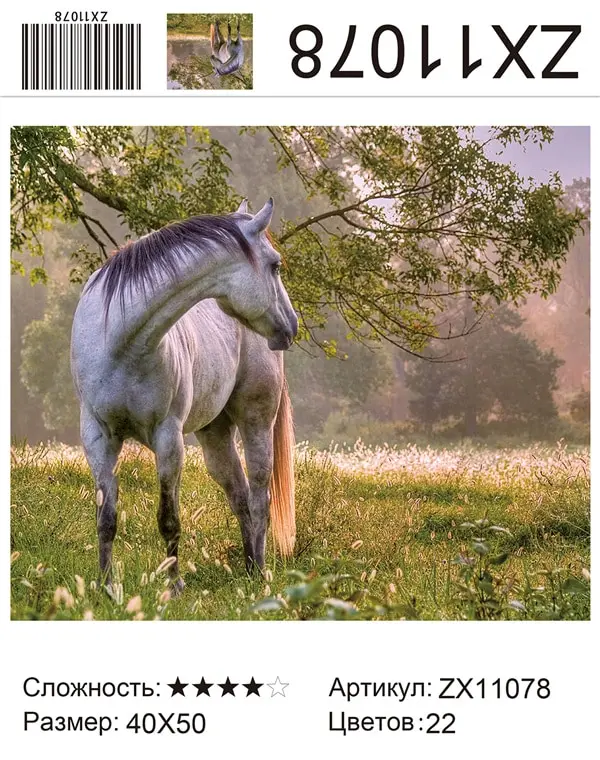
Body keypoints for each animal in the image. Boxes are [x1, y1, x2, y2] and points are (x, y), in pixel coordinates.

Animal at [70, 198, 298, 595]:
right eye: (275, 265)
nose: (291, 326)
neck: (121, 342)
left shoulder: (168, 438)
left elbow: (169, 519)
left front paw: (173, 586)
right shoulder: (97, 438)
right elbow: (106, 518)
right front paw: (106, 587)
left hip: (256, 423)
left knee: (259, 498)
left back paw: (260, 574)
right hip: (215, 436)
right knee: (239, 496)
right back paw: (249, 568)